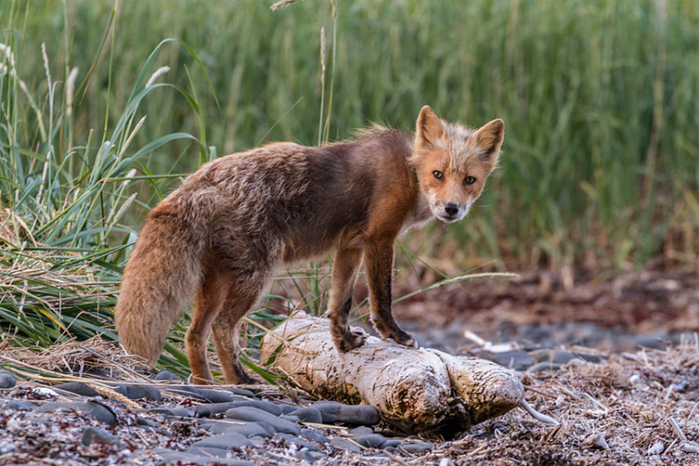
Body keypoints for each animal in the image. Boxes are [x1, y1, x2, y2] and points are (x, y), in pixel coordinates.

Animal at [117, 107, 506, 384]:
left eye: (469, 180)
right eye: (438, 175)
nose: (451, 209)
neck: (409, 171)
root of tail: (198, 180)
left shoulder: (350, 246)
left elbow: (340, 303)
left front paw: (343, 343)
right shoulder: (380, 238)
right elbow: (382, 299)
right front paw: (395, 335)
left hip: (216, 281)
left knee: (194, 334)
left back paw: (205, 384)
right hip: (256, 276)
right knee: (222, 328)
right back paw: (240, 381)